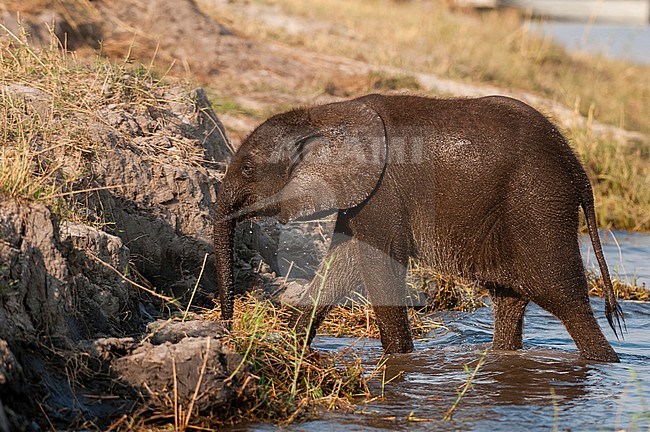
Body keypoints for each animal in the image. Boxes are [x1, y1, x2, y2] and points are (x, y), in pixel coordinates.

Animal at [214, 93, 624, 362]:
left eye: (247, 169)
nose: (228, 333)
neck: (323, 116)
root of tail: (579, 171)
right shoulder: (362, 192)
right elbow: (340, 263)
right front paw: (290, 347)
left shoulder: (382, 190)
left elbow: (379, 264)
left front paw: (399, 361)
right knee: (509, 299)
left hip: (539, 206)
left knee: (565, 300)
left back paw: (605, 363)